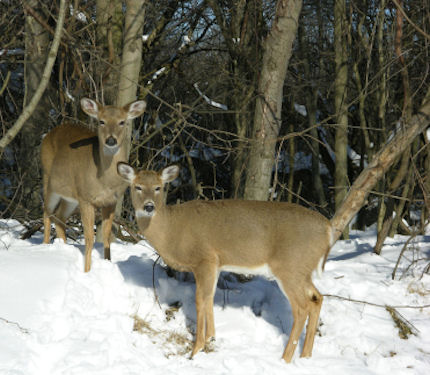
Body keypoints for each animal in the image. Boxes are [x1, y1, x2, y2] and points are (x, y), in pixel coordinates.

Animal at [41, 98, 147, 272]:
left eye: (122, 122)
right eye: (101, 121)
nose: (111, 140)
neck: (105, 182)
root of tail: (48, 134)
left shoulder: (111, 201)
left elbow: (106, 237)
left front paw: (108, 264)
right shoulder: (86, 198)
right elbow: (89, 238)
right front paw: (87, 271)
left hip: (70, 197)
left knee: (59, 216)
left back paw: (63, 247)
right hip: (48, 180)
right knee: (47, 212)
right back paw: (45, 247)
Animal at [117, 164, 336, 364]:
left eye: (158, 187)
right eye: (137, 186)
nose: (149, 207)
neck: (172, 231)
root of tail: (328, 229)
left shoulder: (205, 258)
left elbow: (200, 299)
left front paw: (196, 349)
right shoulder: (215, 264)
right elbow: (209, 297)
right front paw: (211, 339)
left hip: (289, 267)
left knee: (302, 307)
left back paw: (285, 358)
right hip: (302, 270)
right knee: (317, 298)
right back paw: (306, 356)